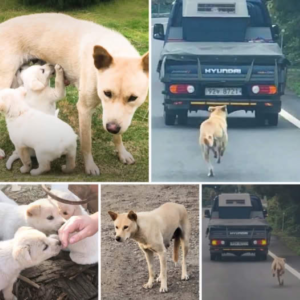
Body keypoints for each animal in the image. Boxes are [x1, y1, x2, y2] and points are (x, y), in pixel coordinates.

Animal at [0, 12, 149, 175]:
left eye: (133, 98)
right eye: (107, 93)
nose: (111, 128)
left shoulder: (114, 117)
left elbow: (118, 135)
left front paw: (122, 153)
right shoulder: (84, 109)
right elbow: (86, 143)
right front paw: (90, 166)